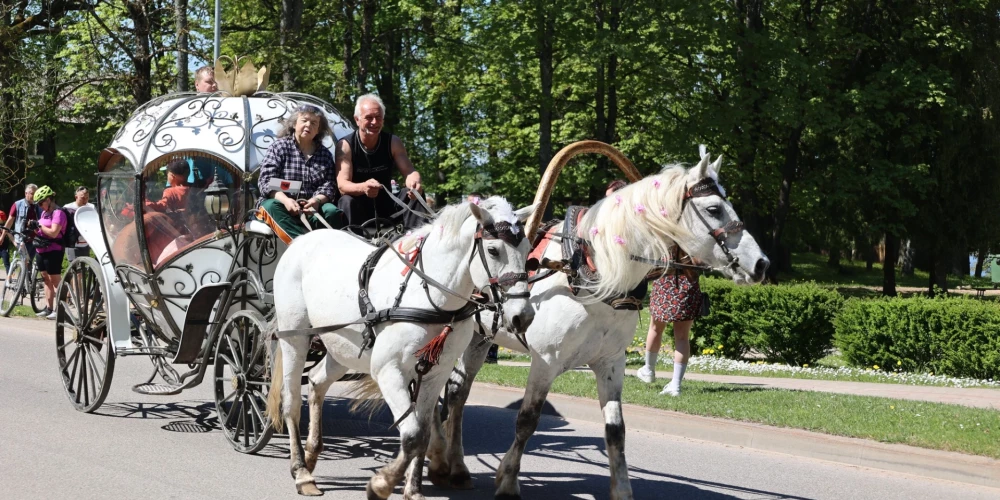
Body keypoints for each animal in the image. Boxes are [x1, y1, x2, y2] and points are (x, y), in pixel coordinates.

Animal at [262, 197, 536, 498]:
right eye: (493, 250)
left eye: (528, 250)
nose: (523, 316)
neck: (430, 297)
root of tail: (302, 241)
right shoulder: (389, 370)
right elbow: (413, 434)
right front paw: (383, 483)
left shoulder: (435, 373)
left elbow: (423, 433)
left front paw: (413, 489)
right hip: (295, 337)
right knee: (291, 401)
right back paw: (301, 471)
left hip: (342, 348)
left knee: (316, 381)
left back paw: (311, 454)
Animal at [434, 154, 768, 498]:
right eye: (714, 209)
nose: (761, 264)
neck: (590, 272)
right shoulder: (545, 362)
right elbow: (527, 419)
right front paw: (508, 480)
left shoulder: (611, 362)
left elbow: (615, 429)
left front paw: (622, 489)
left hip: (480, 338)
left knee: (457, 393)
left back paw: (454, 465)